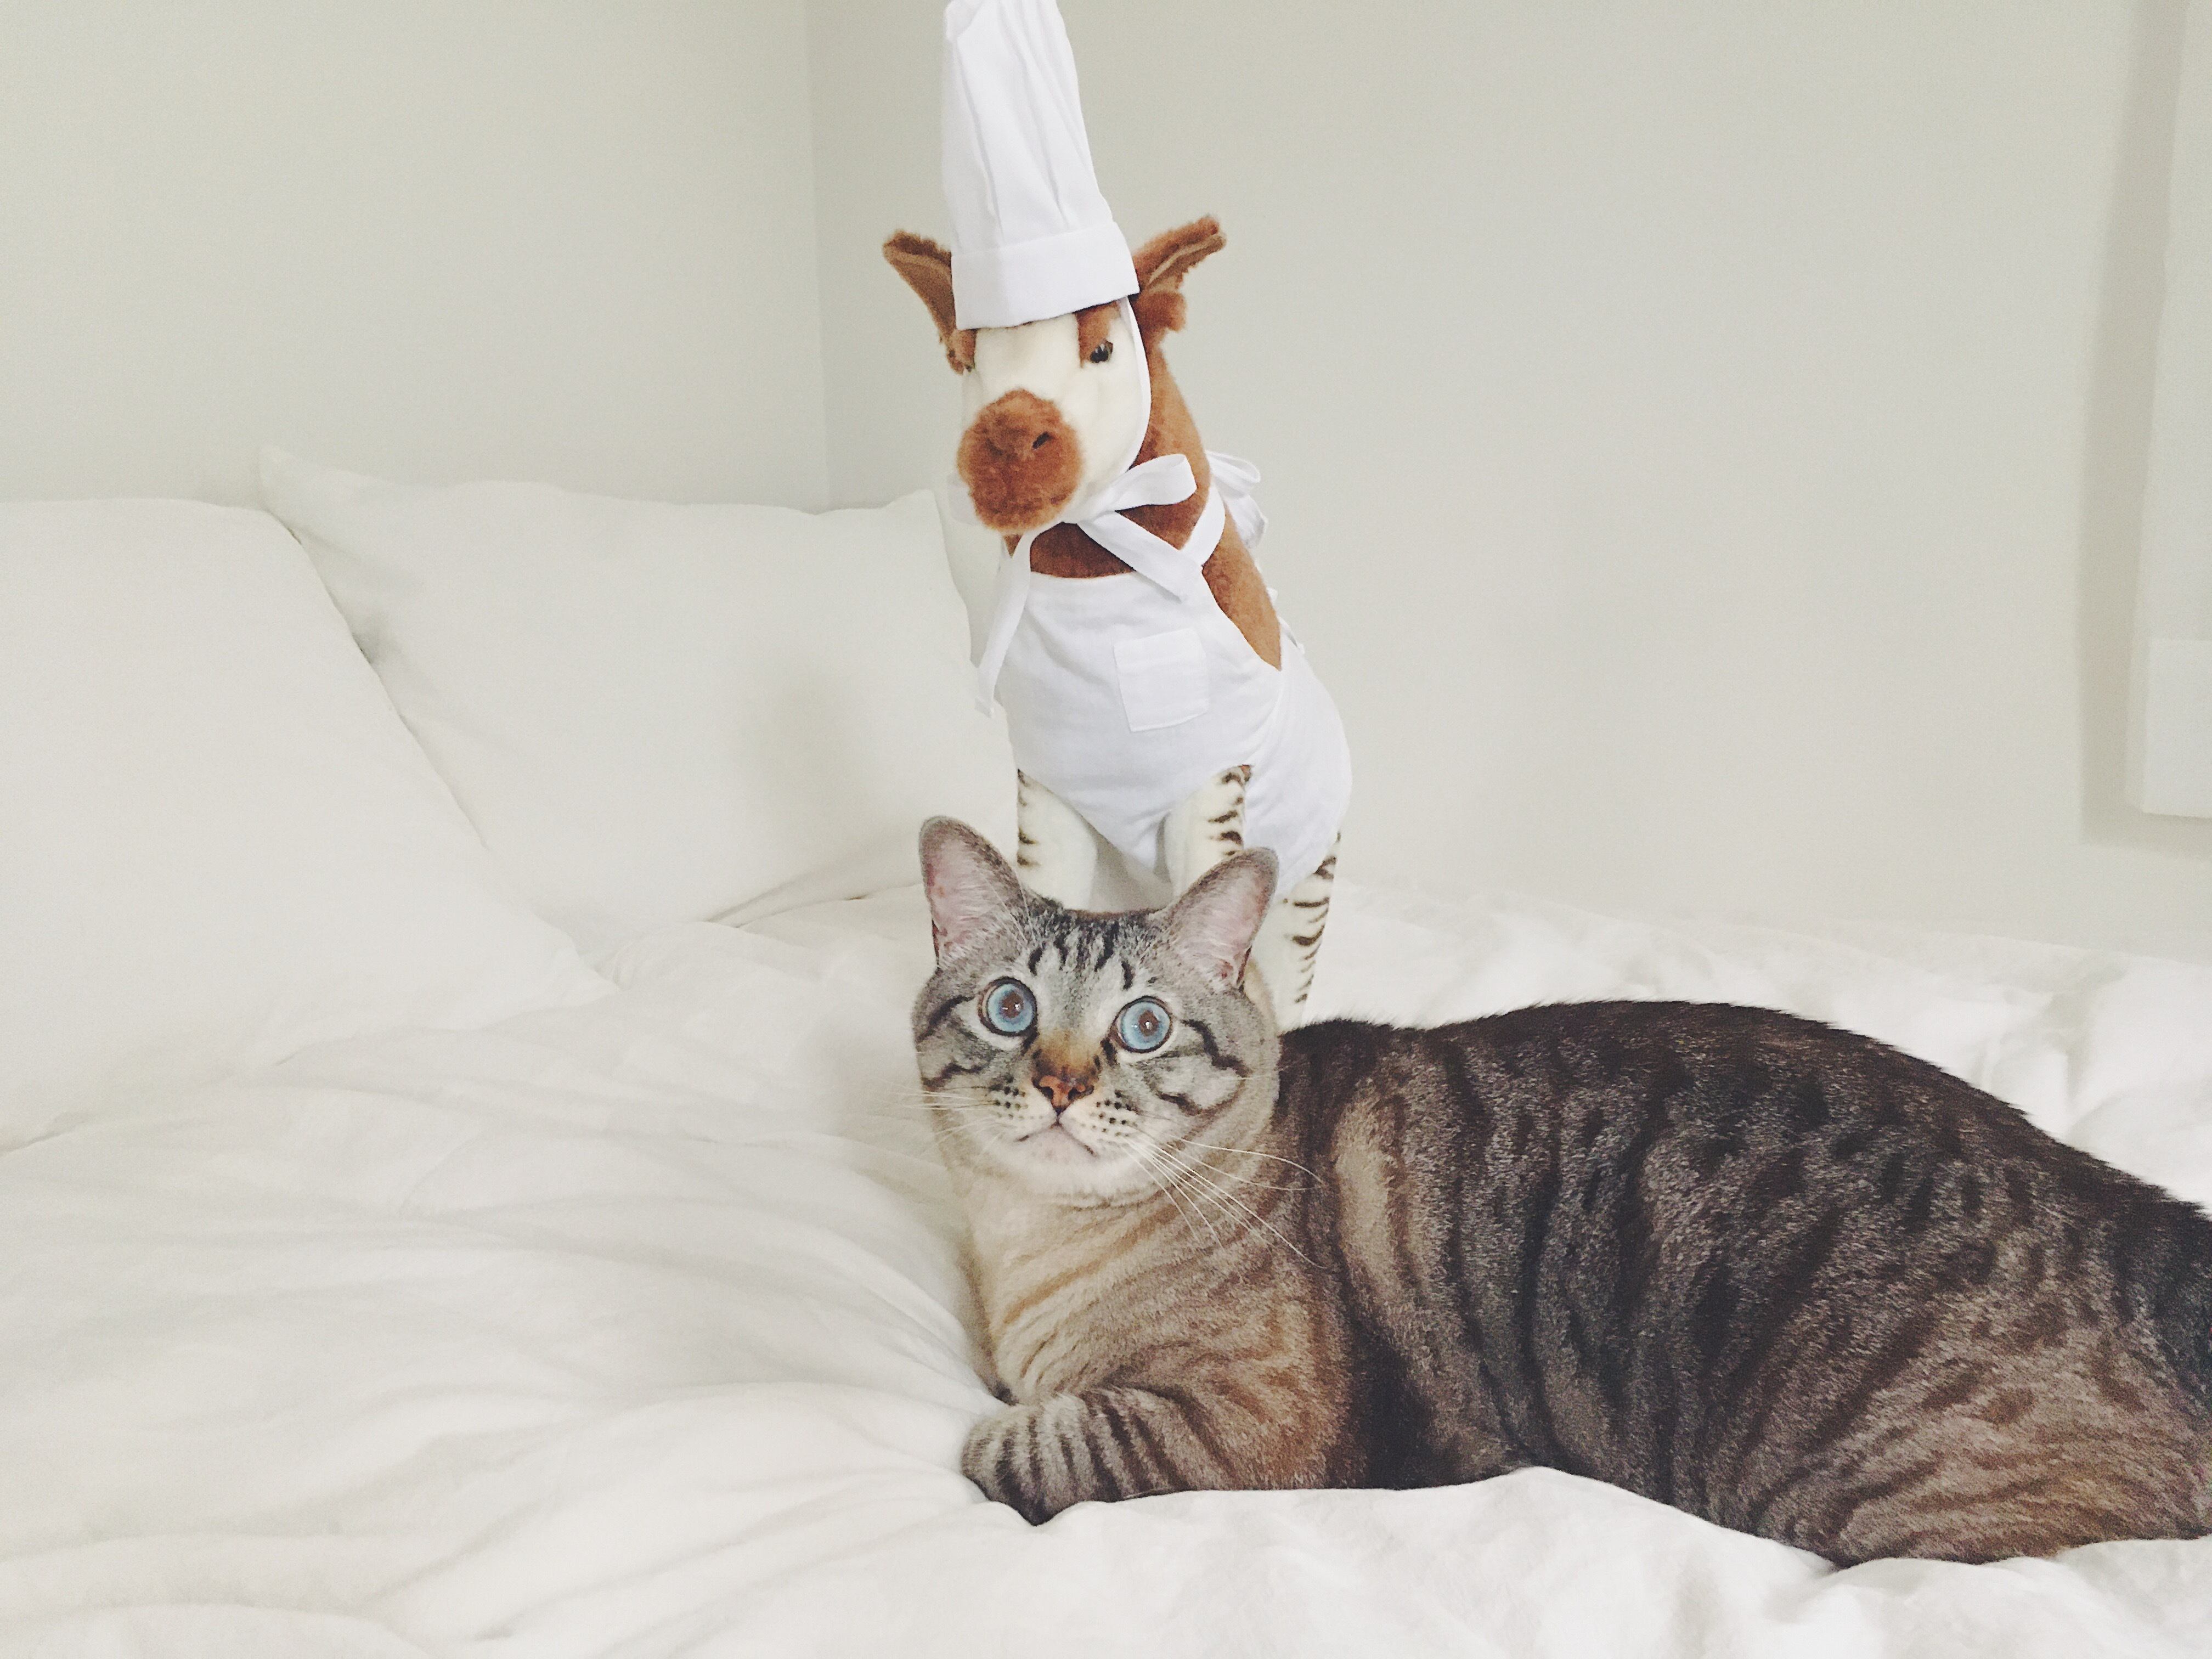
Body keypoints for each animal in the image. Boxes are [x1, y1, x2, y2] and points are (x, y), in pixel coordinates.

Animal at [911, 817, 2212, 1563]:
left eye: (1141, 1026)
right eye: (1012, 1008)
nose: (1063, 1084)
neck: (1028, 1254)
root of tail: (2138, 1215)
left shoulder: (1242, 1429)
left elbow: (1014, 1445)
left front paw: (1001, 1431)